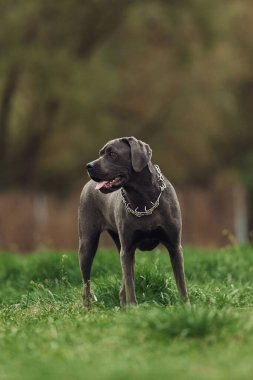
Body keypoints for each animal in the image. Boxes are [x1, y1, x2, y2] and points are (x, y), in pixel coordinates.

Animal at [78, 135, 188, 308]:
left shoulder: (174, 246)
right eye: (100, 153)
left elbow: (181, 282)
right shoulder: (128, 249)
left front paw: (186, 307)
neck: (144, 199)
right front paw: (133, 309)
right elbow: (130, 285)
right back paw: (88, 308)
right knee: (86, 283)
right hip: (88, 243)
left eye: (112, 154)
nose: (88, 166)